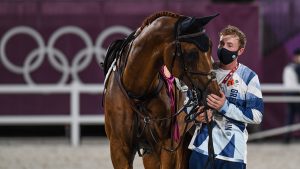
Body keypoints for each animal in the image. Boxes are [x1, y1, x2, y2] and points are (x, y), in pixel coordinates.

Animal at [103, 11, 220, 169]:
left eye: (211, 48)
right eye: (192, 54)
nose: (216, 94)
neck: (138, 94)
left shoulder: (167, 148)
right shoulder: (119, 149)